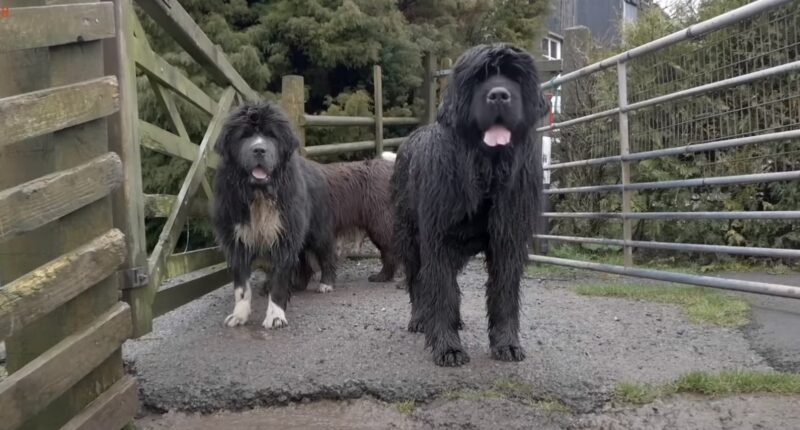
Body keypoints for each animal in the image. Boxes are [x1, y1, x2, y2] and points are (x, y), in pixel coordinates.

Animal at [388, 42, 552, 366]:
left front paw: (507, 343)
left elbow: (503, 292)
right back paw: (420, 319)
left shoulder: (508, 239)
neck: (486, 171)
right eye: (479, 77)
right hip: (409, 236)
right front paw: (447, 346)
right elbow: (441, 290)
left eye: (514, 76)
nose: (499, 95)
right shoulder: (438, 237)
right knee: (417, 279)